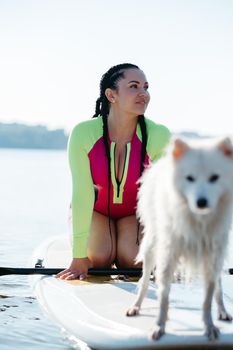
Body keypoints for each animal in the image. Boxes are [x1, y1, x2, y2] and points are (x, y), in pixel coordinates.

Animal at [127, 137, 233, 342]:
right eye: (189, 178)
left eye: (214, 178)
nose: (201, 202)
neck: (198, 219)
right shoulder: (168, 254)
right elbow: (163, 296)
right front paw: (159, 326)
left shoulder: (213, 254)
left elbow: (208, 297)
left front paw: (210, 326)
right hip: (152, 245)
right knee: (144, 280)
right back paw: (135, 306)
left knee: (219, 284)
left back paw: (223, 311)